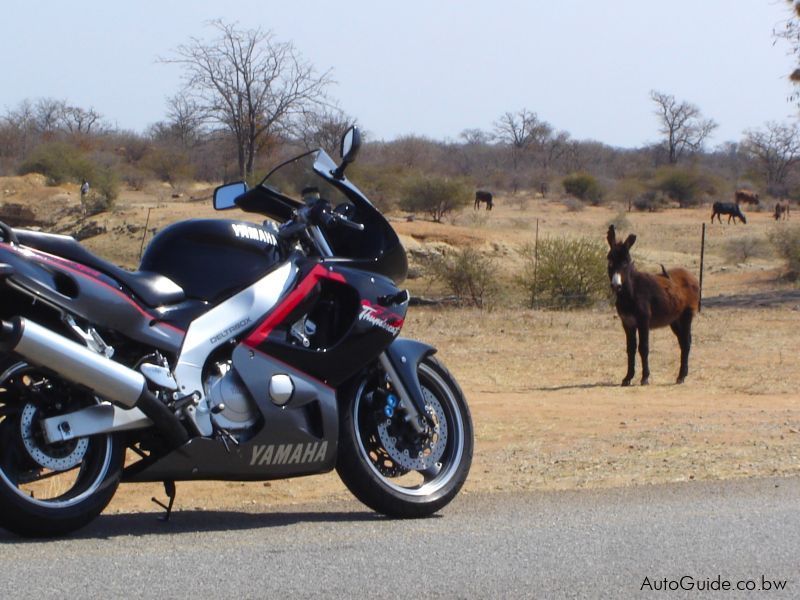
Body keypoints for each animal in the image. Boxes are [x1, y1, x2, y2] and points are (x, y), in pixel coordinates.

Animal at [608, 224, 700, 384]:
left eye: (625, 263)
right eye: (610, 261)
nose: (616, 285)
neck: (630, 293)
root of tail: (690, 275)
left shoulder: (643, 321)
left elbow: (643, 348)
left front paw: (645, 377)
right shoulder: (627, 323)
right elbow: (630, 349)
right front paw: (627, 378)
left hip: (686, 316)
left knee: (687, 342)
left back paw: (681, 376)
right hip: (674, 320)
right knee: (682, 342)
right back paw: (682, 375)